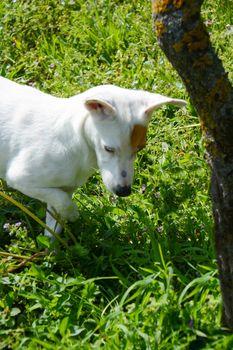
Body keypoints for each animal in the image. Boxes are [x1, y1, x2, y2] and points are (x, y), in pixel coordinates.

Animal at [0, 77, 186, 238]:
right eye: (108, 149)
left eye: (140, 148)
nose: (124, 192)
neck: (79, 145)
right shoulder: (20, 179)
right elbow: (63, 202)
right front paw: (73, 213)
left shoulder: (63, 189)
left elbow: (55, 225)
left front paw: (55, 252)